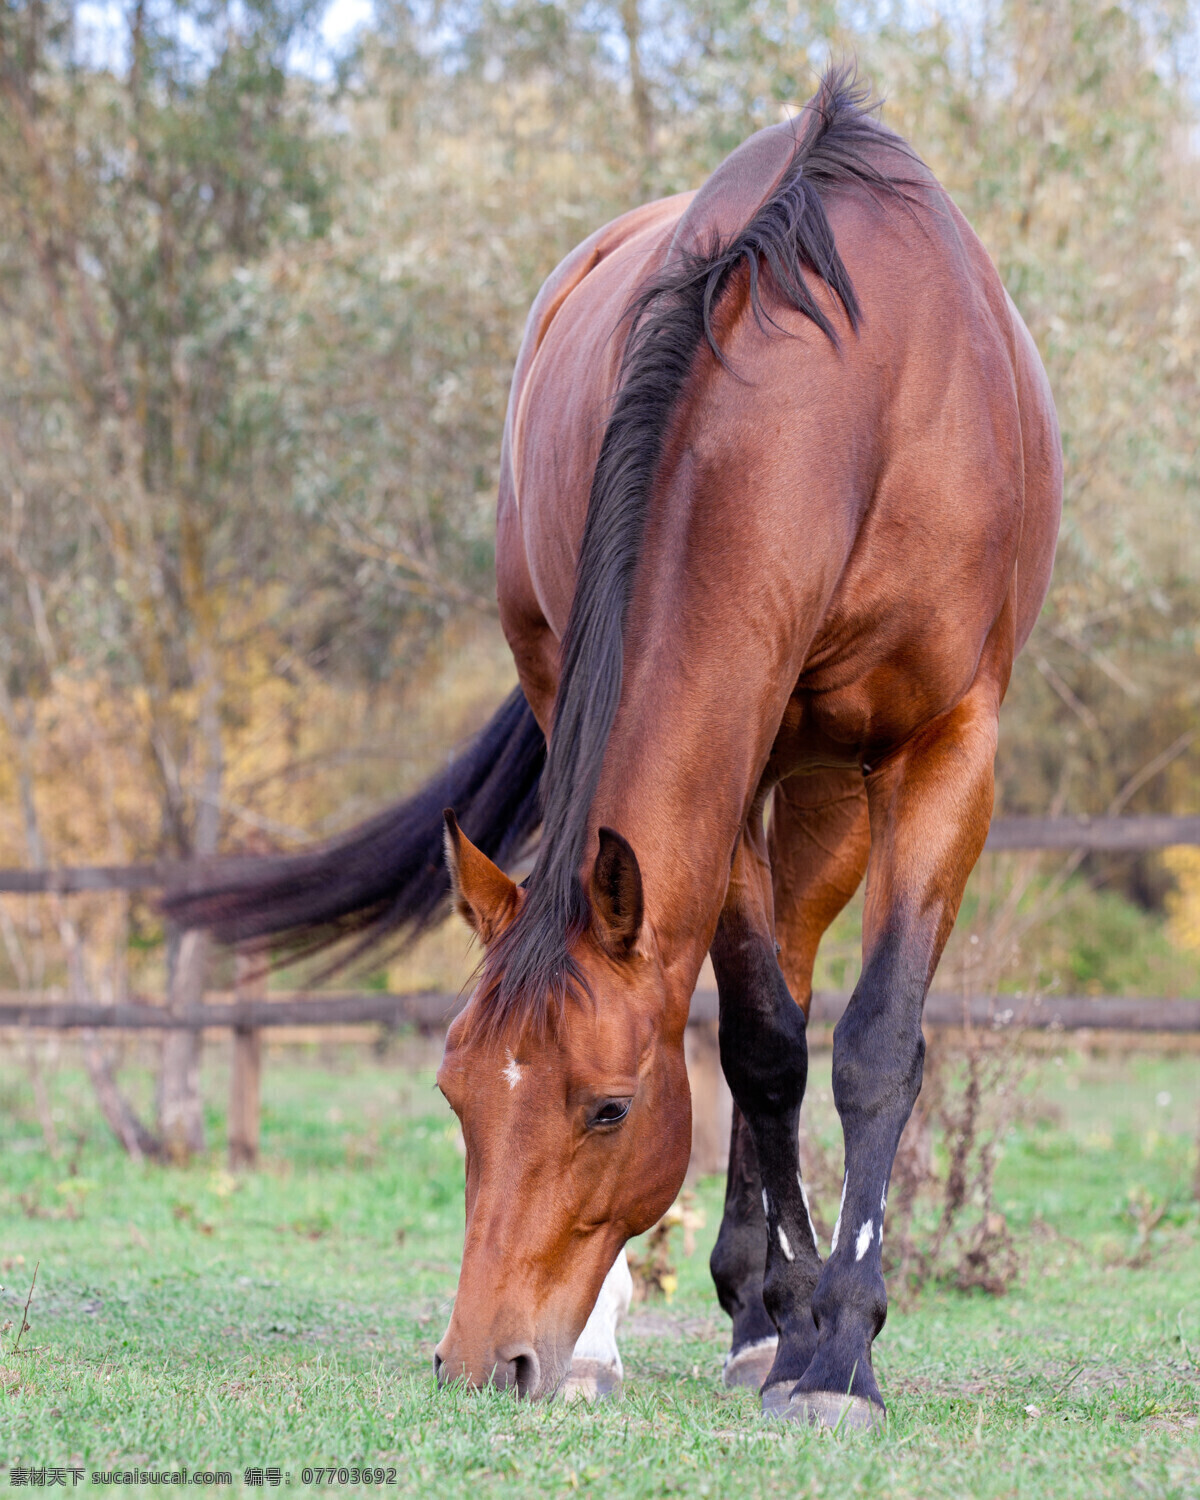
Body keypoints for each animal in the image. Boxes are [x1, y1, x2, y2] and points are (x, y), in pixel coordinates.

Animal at [168, 73, 1062, 1428]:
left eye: (609, 1110)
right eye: (455, 1096)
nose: (482, 1359)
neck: (865, 390)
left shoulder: (948, 747)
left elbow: (870, 1047)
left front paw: (839, 1351)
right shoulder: (727, 767)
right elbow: (759, 1048)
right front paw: (782, 1317)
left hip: (827, 788)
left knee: (803, 971)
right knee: (758, 996)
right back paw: (711, 1318)